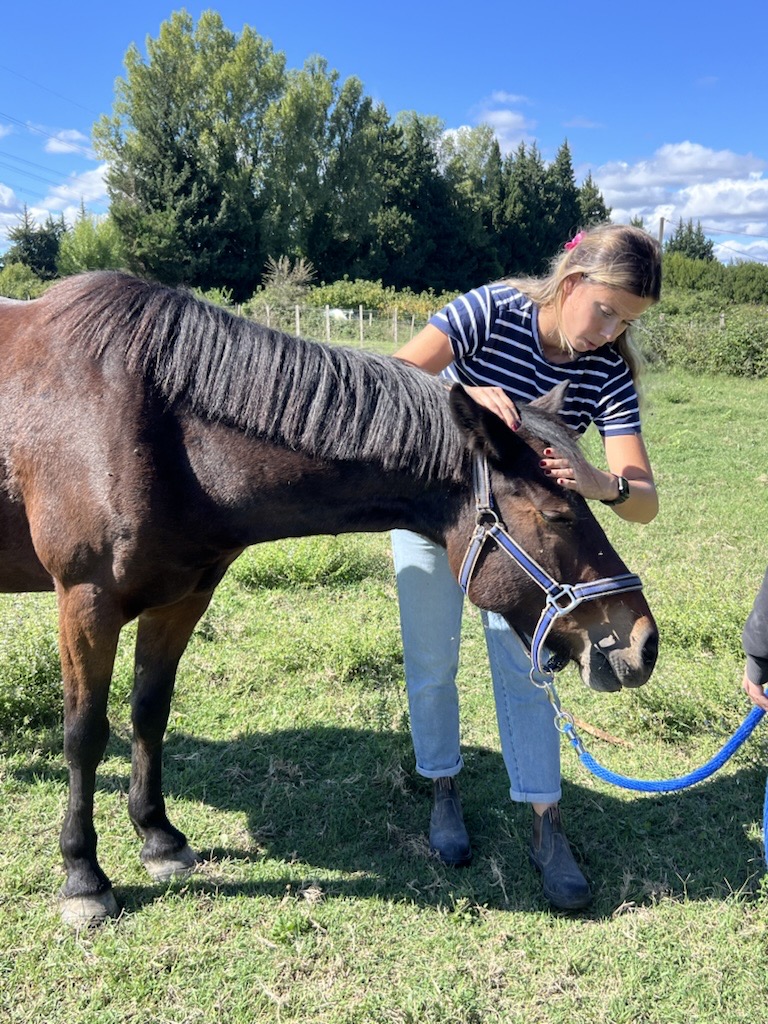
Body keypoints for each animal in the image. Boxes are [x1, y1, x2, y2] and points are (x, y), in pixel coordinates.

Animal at [0, 271, 658, 927]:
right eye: (556, 515)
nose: (643, 643)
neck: (157, 429)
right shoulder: (86, 601)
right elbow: (84, 734)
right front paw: (83, 875)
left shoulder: (181, 599)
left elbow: (149, 713)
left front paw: (159, 838)